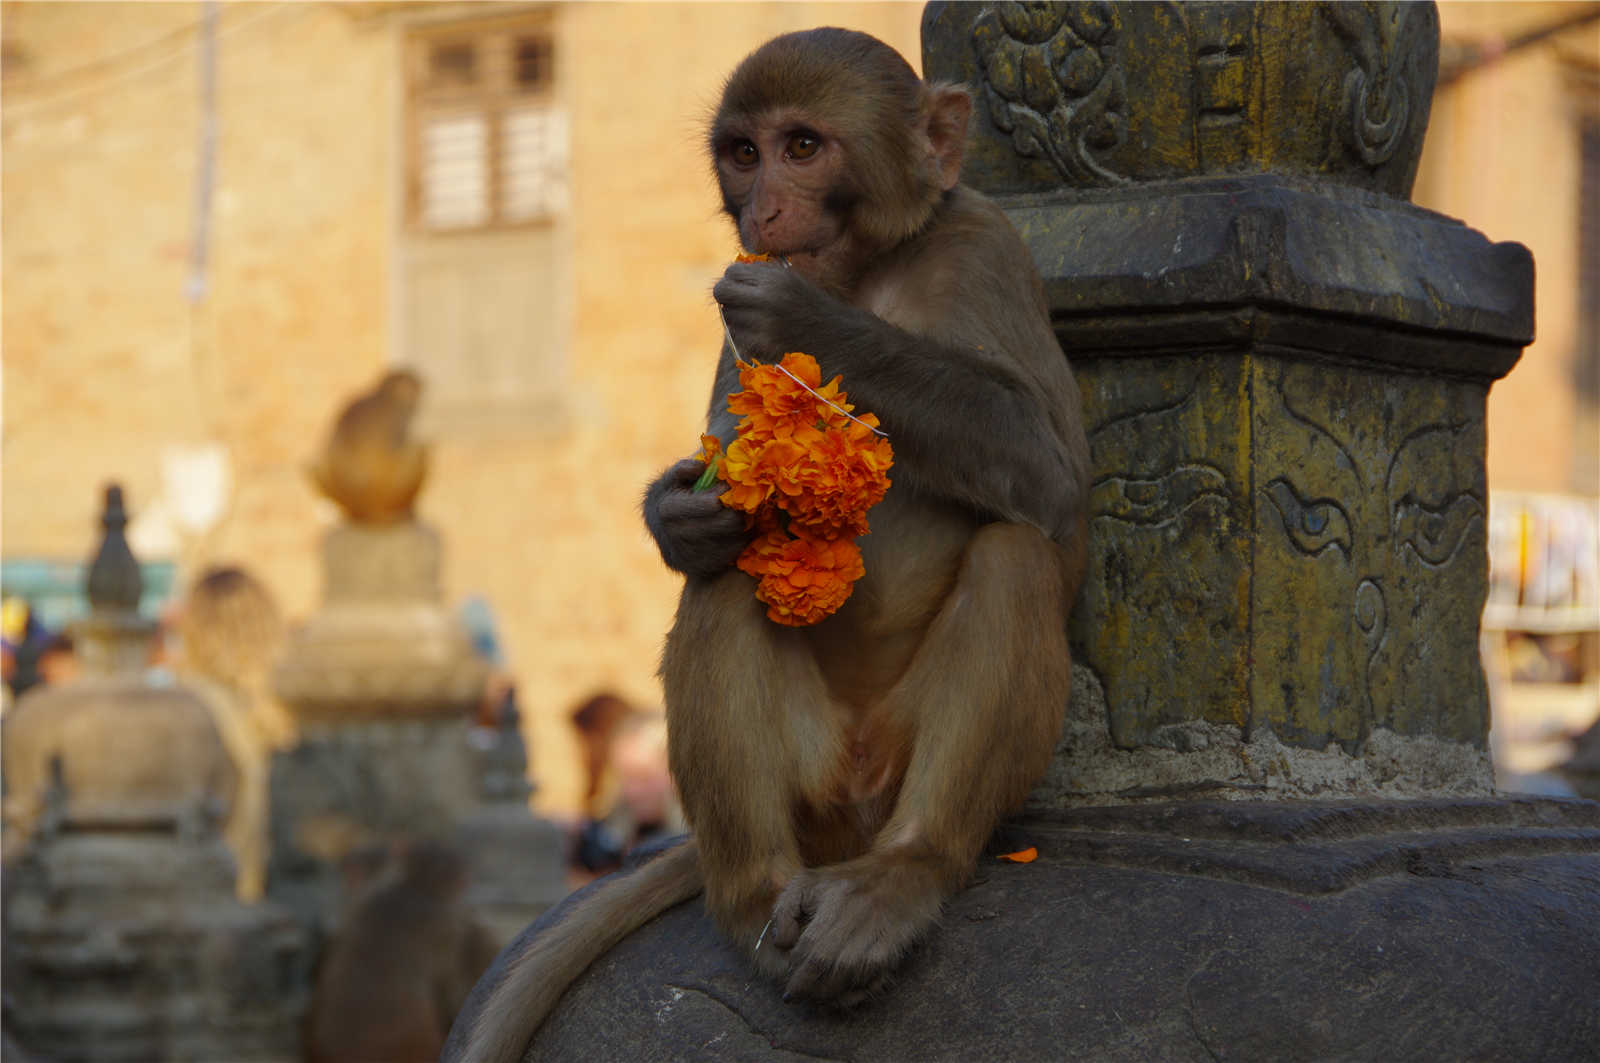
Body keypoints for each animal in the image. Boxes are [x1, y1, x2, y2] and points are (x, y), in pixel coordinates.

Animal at [457, 27, 1094, 1063]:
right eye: (743, 152)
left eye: (803, 147)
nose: (764, 207)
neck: (874, 268)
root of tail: (848, 829)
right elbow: (724, 486)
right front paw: (682, 513)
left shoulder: (987, 247)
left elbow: (1051, 479)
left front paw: (811, 320)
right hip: (812, 783)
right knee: (725, 581)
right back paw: (754, 890)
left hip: (897, 773)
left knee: (1016, 550)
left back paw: (907, 872)